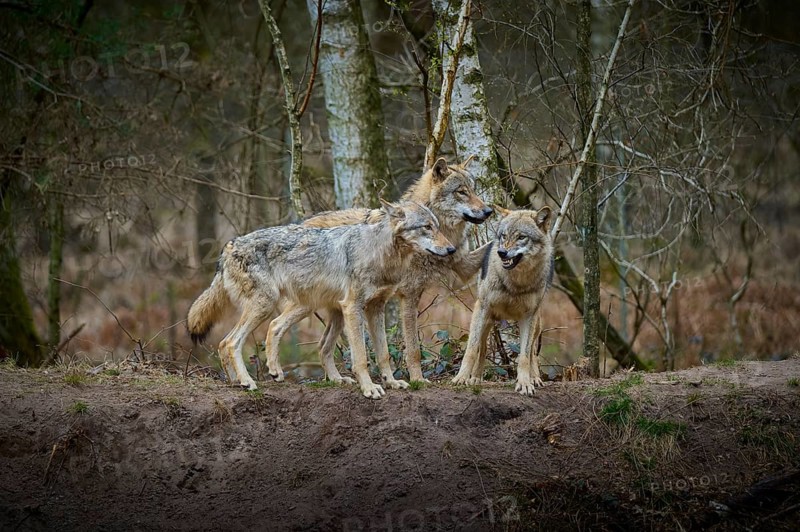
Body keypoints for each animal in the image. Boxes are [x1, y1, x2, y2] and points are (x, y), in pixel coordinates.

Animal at [186, 200, 455, 399]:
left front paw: (391, 382)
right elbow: (361, 357)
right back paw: (247, 381)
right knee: (232, 342)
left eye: (437, 226)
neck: (380, 254)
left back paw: (245, 379)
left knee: (257, 333)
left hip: (306, 306)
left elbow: (383, 353)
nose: (452, 249)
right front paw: (369, 388)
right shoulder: (353, 307)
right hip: (268, 304)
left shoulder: (376, 308)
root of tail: (228, 246)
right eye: (426, 227)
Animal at [264, 156, 493, 387]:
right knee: (275, 325)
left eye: (474, 190)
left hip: (337, 309)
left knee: (322, 345)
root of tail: (301, 224)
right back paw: (276, 371)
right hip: (309, 303)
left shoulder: (462, 266)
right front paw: (417, 379)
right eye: (461, 192)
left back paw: (337, 379)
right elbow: (413, 349)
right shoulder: (409, 296)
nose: (489, 211)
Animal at [451, 205, 554, 396]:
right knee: (483, 348)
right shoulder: (481, 307)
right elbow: (471, 349)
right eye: (504, 236)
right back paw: (475, 378)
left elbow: (524, 356)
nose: (502, 252)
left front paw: (525, 383)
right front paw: (461, 378)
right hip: (486, 321)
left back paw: (535, 378)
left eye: (521, 237)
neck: (516, 283)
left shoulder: (528, 317)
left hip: (537, 324)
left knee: (532, 353)